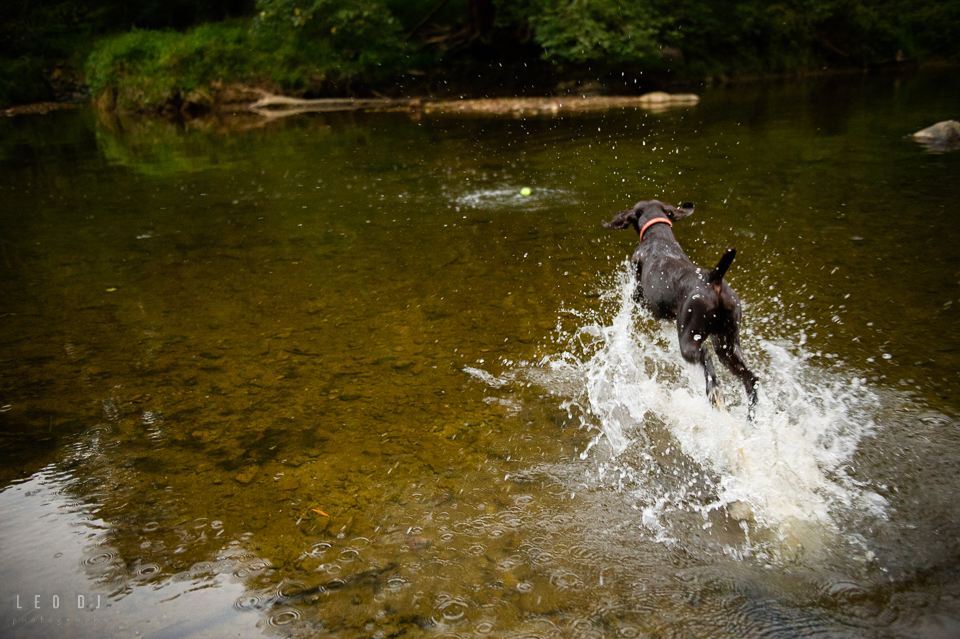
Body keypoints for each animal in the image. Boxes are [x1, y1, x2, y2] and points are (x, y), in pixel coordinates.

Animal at [604, 202, 760, 418]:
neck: (659, 236)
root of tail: (714, 278)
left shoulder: (639, 293)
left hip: (690, 337)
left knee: (705, 355)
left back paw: (713, 391)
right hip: (727, 344)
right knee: (750, 379)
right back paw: (750, 416)